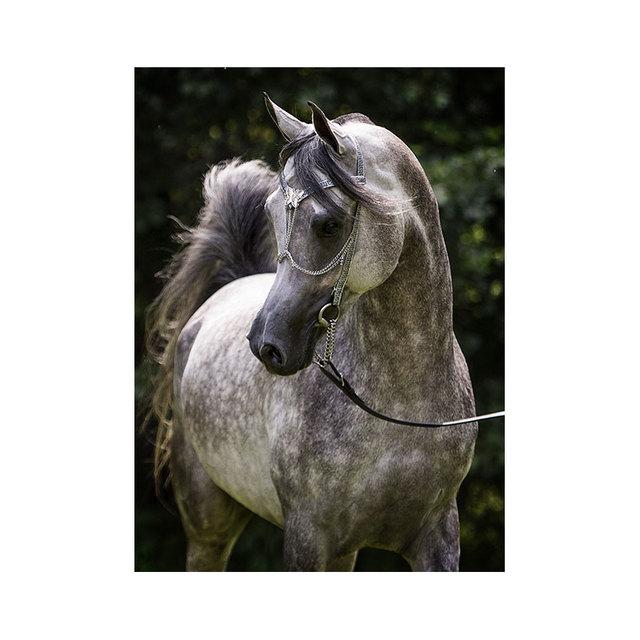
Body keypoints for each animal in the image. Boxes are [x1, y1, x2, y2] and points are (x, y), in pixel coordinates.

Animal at [147, 95, 478, 571]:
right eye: (271, 212)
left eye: (329, 225)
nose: (267, 345)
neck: (399, 404)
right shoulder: (308, 539)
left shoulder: (438, 538)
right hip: (209, 527)